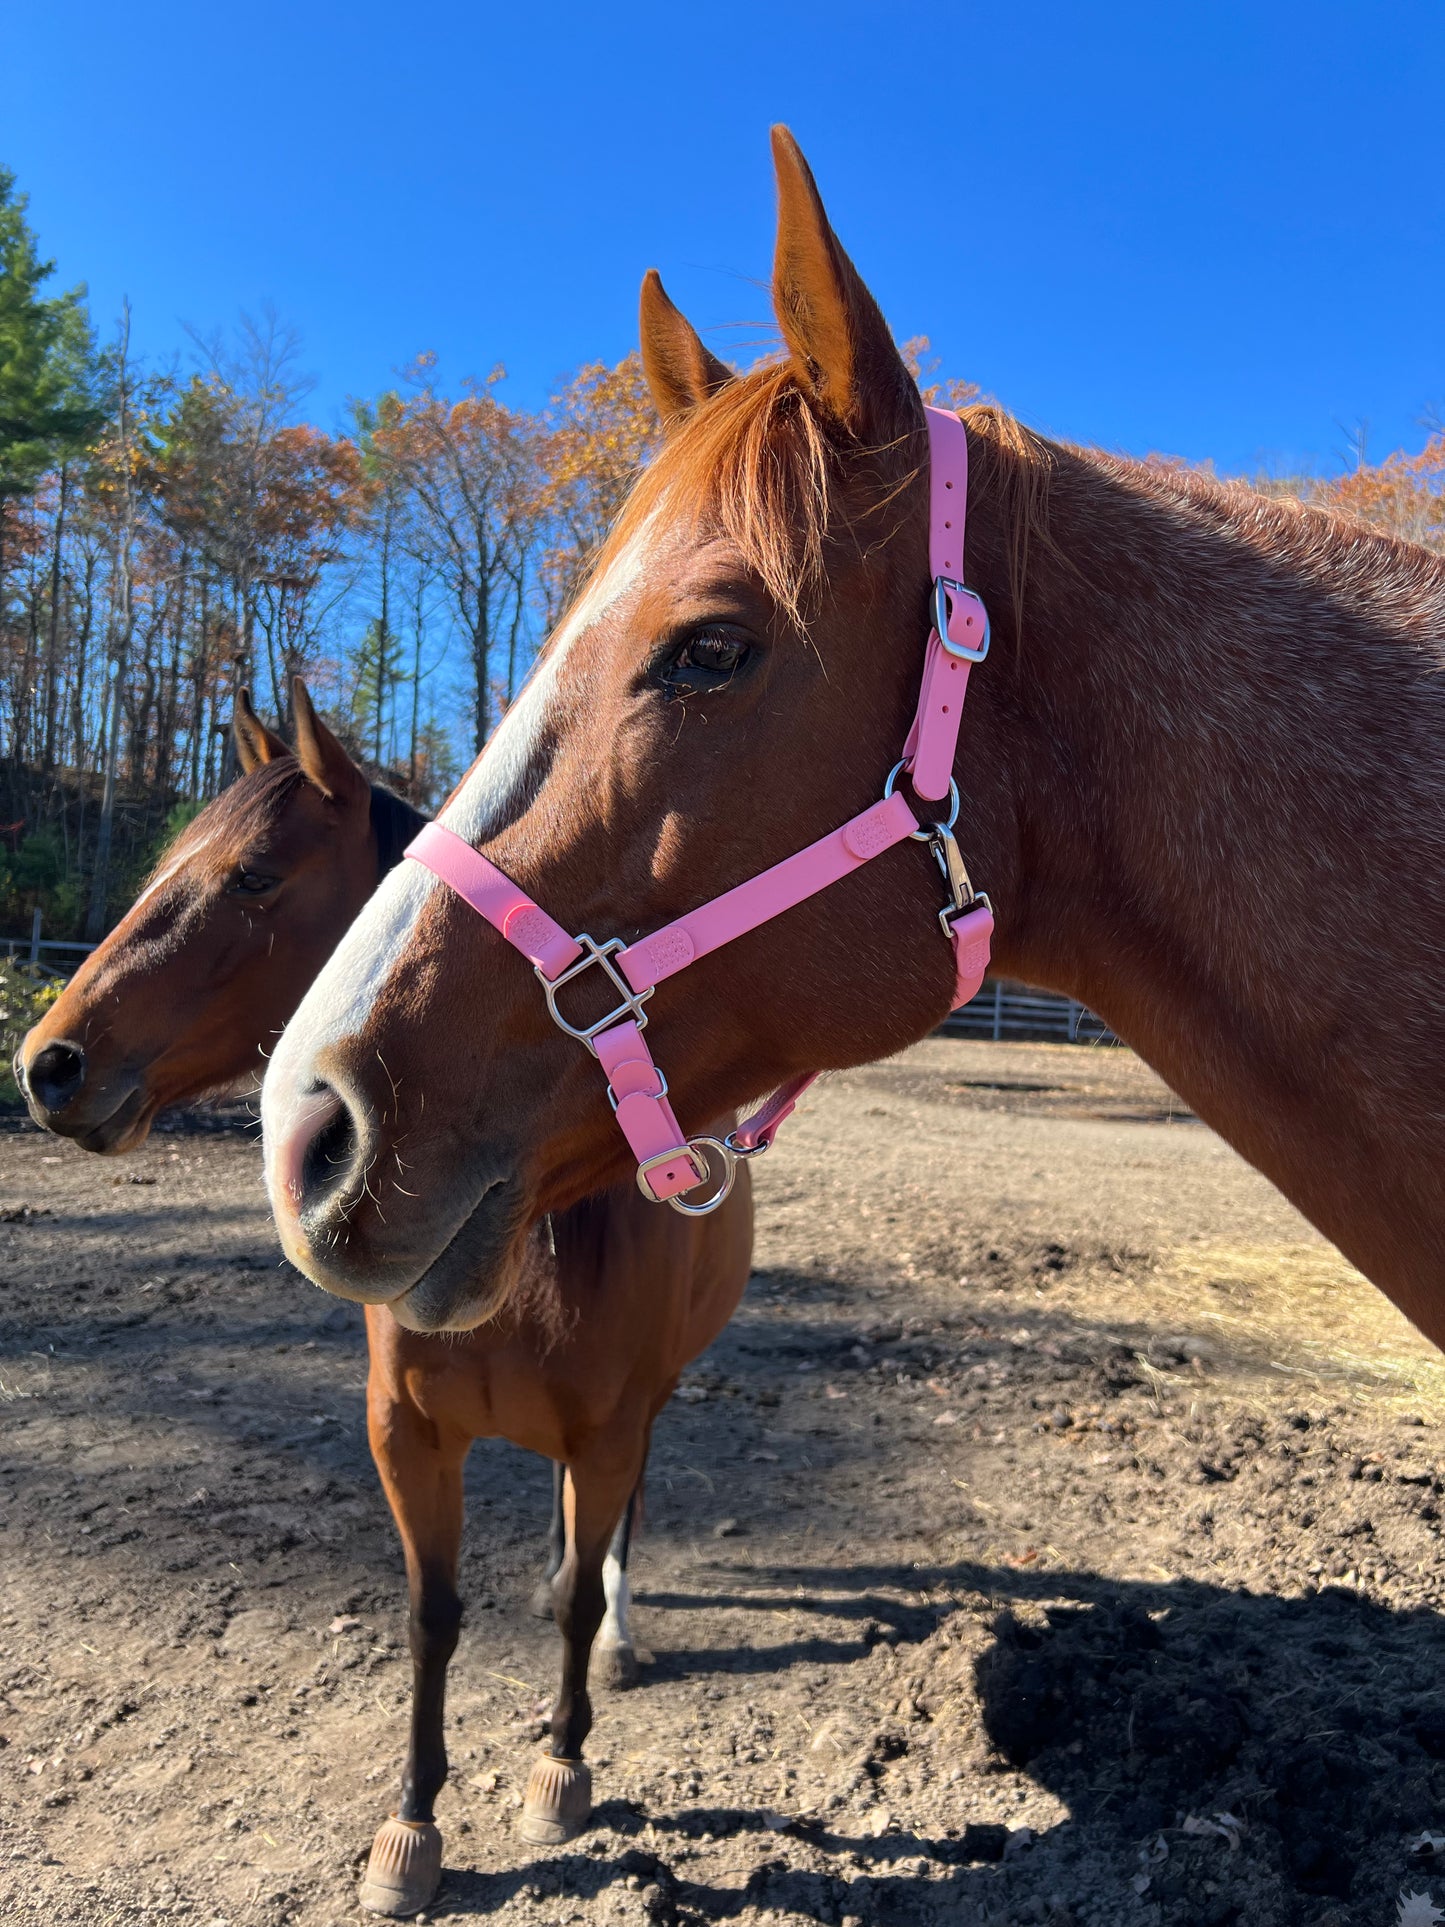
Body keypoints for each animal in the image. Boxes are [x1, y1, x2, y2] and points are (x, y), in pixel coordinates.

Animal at [16, 683, 754, 1918]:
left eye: (254, 876)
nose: (48, 1064)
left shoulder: (606, 1428)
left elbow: (577, 1594)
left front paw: (561, 1764)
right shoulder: (407, 1436)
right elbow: (430, 1617)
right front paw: (410, 1826)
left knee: (615, 1537)